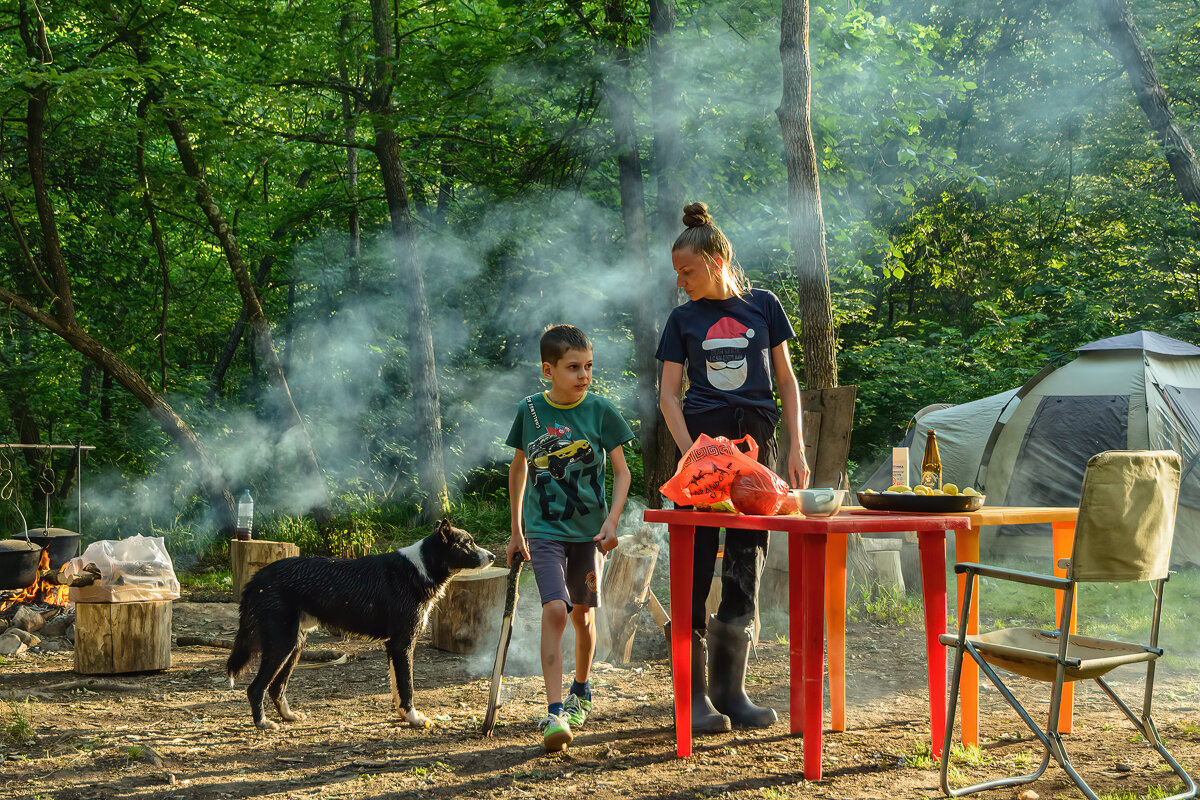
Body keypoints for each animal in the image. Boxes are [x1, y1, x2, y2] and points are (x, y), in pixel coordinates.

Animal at [226, 520, 494, 734]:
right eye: (467, 543)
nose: (491, 557)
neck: (420, 567)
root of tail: (257, 578)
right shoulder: (403, 644)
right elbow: (407, 687)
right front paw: (414, 719)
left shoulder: (393, 646)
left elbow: (397, 688)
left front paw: (403, 716)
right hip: (282, 645)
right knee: (255, 688)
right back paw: (262, 723)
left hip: (294, 645)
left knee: (276, 688)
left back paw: (288, 716)